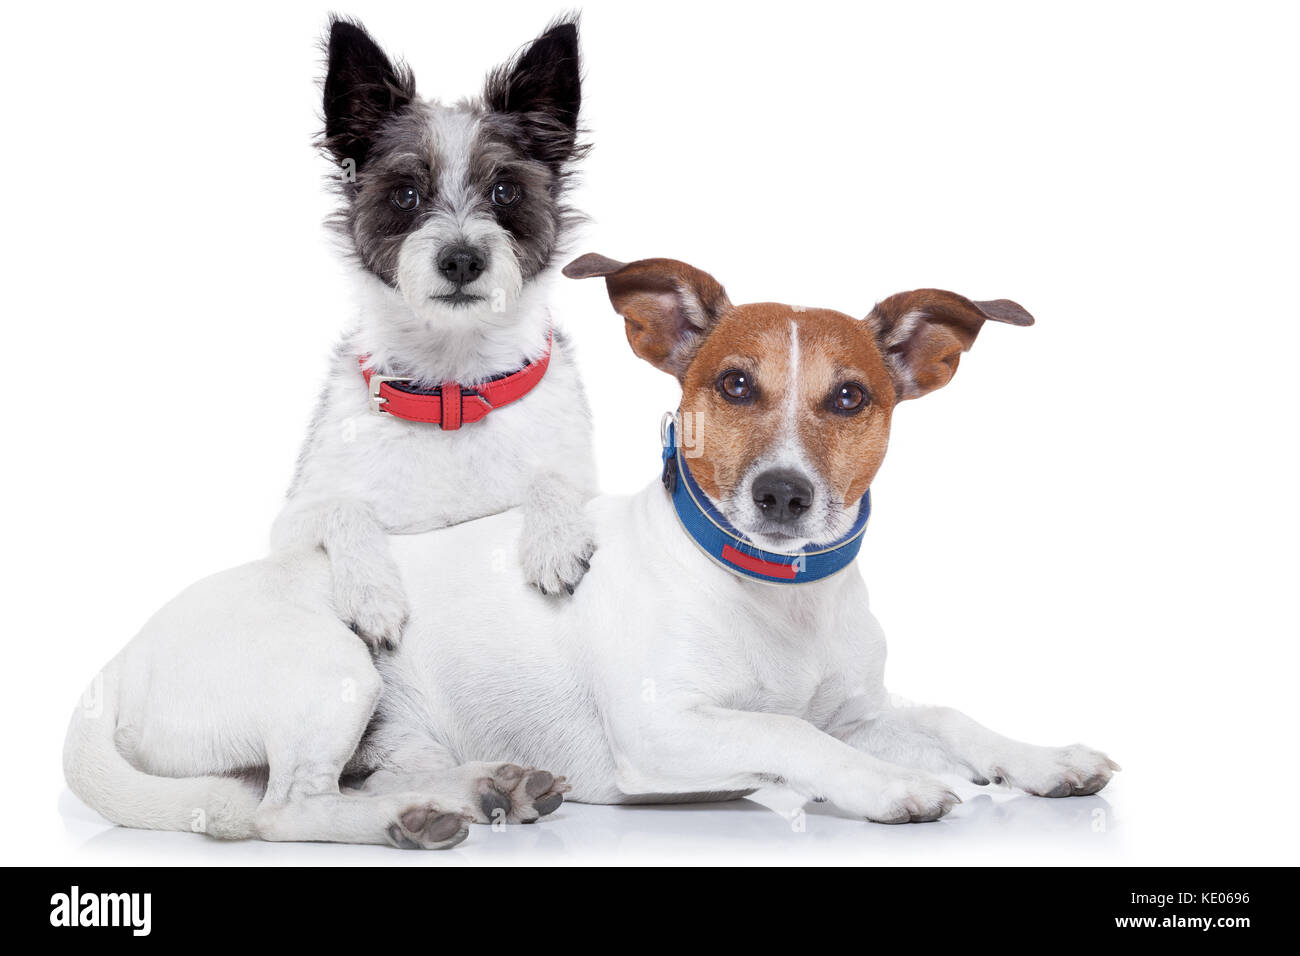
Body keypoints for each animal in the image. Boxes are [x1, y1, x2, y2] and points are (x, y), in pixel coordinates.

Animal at [61, 252, 1118, 842]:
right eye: (734, 385)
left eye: (851, 398)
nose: (782, 494)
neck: (776, 596)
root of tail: (112, 665)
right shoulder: (665, 728)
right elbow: (791, 735)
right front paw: (893, 786)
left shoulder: (860, 708)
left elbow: (944, 716)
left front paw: (1040, 759)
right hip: (333, 668)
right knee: (284, 808)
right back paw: (410, 820)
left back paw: (485, 788)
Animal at [276, 14, 600, 650]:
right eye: (405, 194)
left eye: (505, 191)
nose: (461, 259)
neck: (454, 387)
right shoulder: (292, 526)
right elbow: (345, 509)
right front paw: (371, 594)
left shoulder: (576, 472)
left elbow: (550, 477)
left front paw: (554, 540)